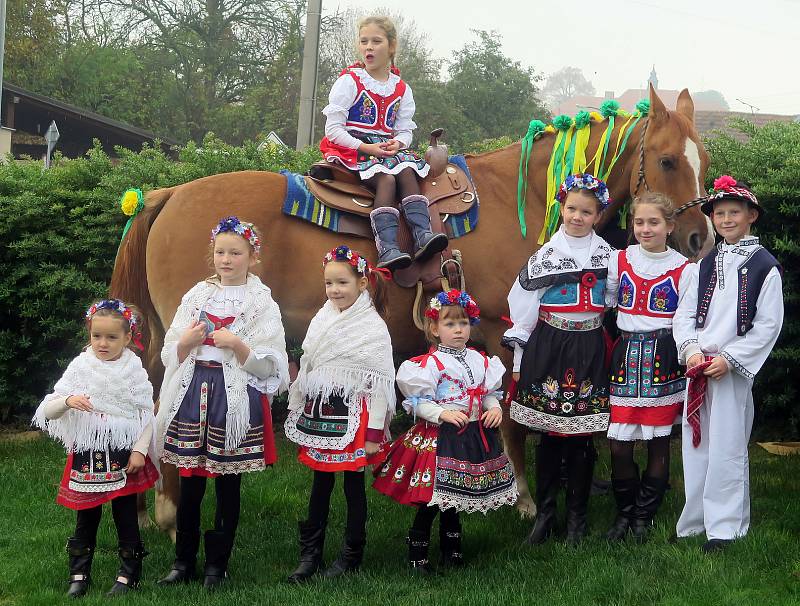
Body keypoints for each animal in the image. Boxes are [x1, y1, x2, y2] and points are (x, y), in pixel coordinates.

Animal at [112, 86, 712, 536]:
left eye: (703, 163)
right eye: (665, 160)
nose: (698, 238)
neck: (517, 199)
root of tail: (169, 194)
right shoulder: (500, 331)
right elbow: (509, 420)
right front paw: (520, 498)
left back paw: (141, 508)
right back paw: (169, 514)